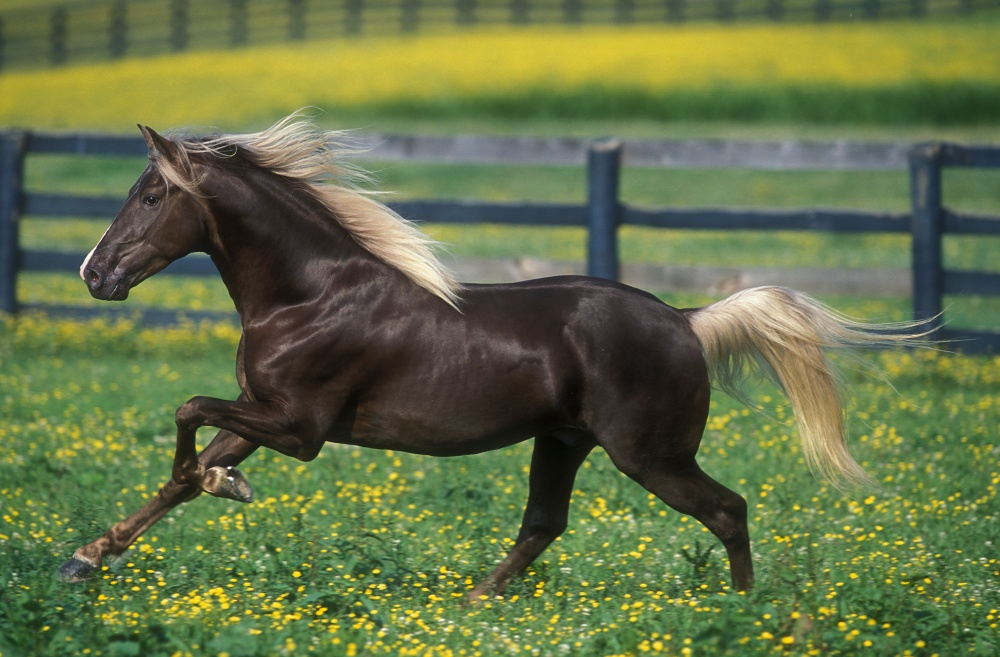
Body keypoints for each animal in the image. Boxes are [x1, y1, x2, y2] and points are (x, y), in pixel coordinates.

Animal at [60, 114, 920, 600]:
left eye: (149, 196)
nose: (93, 275)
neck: (309, 294)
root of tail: (686, 318)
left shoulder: (300, 429)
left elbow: (187, 415)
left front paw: (221, 486)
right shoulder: (263, 414)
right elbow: (182, 472)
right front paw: (86, 558)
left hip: (650, 453)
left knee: (727, 508)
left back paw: (741, 610)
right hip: (564, 440)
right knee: (544, 522)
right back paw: (476, 600)